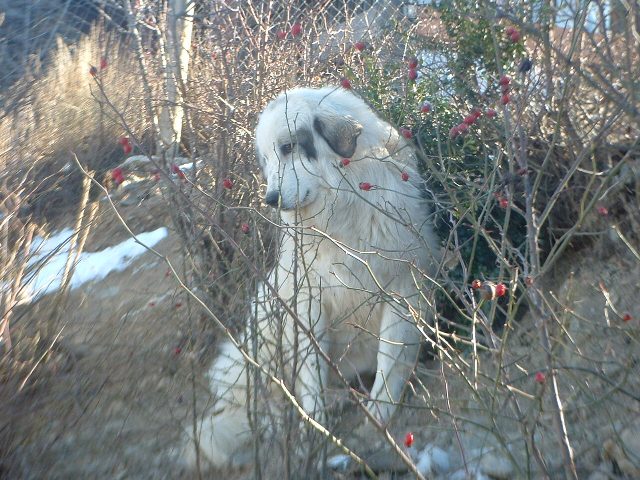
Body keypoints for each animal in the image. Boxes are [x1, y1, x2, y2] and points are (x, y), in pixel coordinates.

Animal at [186, 85, 440, 468]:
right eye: (266, 159)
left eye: (289, 147)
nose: (270, 199)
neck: (343, 205)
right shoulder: (308, 303)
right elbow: (311, 372)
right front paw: (316, 426)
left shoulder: (403, 289)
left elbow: (390, 362)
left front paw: (379, 418)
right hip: (263, 324)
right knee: (264, 401)